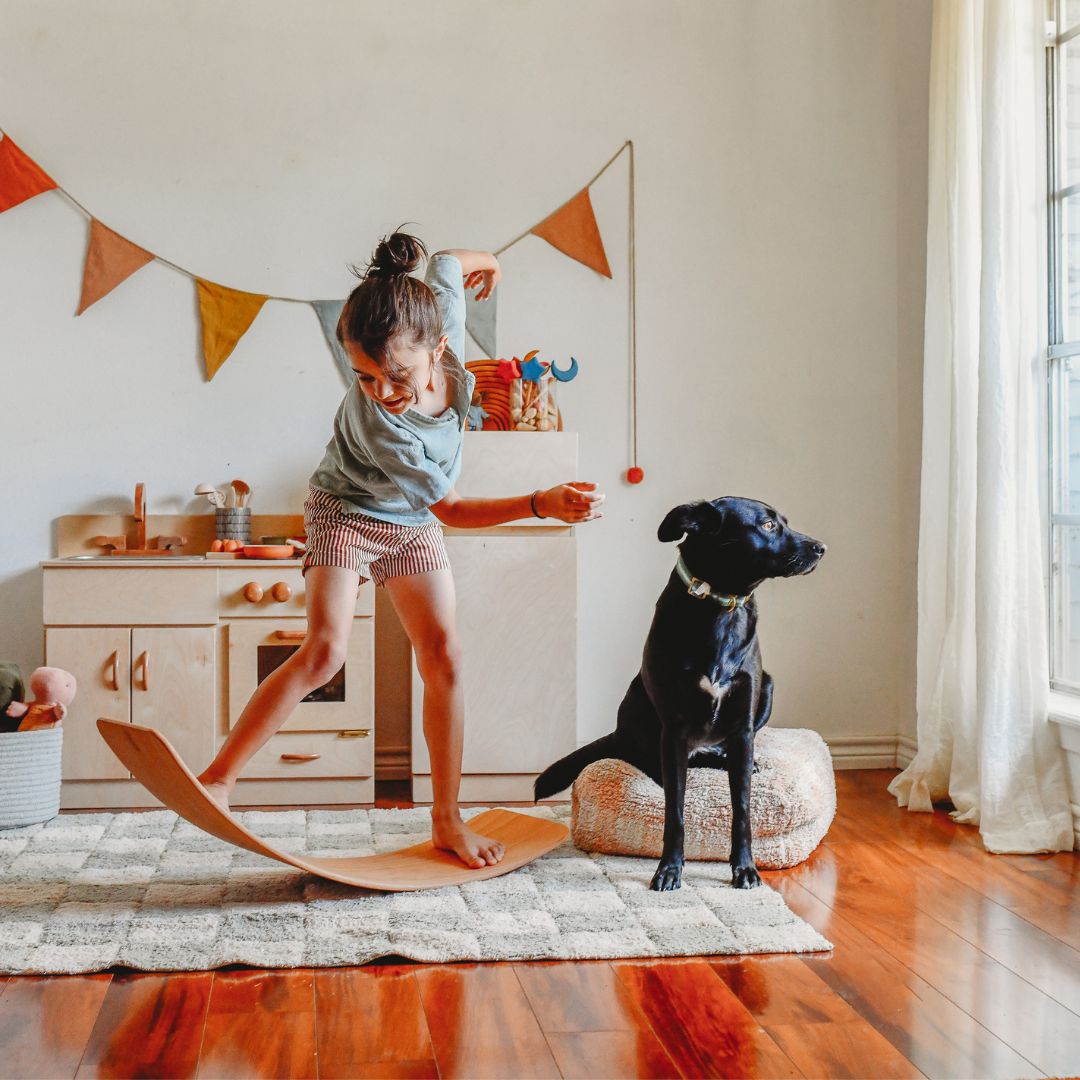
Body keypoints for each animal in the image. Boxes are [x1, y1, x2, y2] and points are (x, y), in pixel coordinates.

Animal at [533, 494, 825, 889]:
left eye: (784, 522)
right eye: (767, 525)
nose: (821, 548)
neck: (721, 606)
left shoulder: (743, 728)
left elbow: (743, 809)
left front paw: (744, 868)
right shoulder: (673, 730)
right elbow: (676, 810)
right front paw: (669, 869)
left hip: (767, 686)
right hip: (639, 707)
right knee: (650, 760)